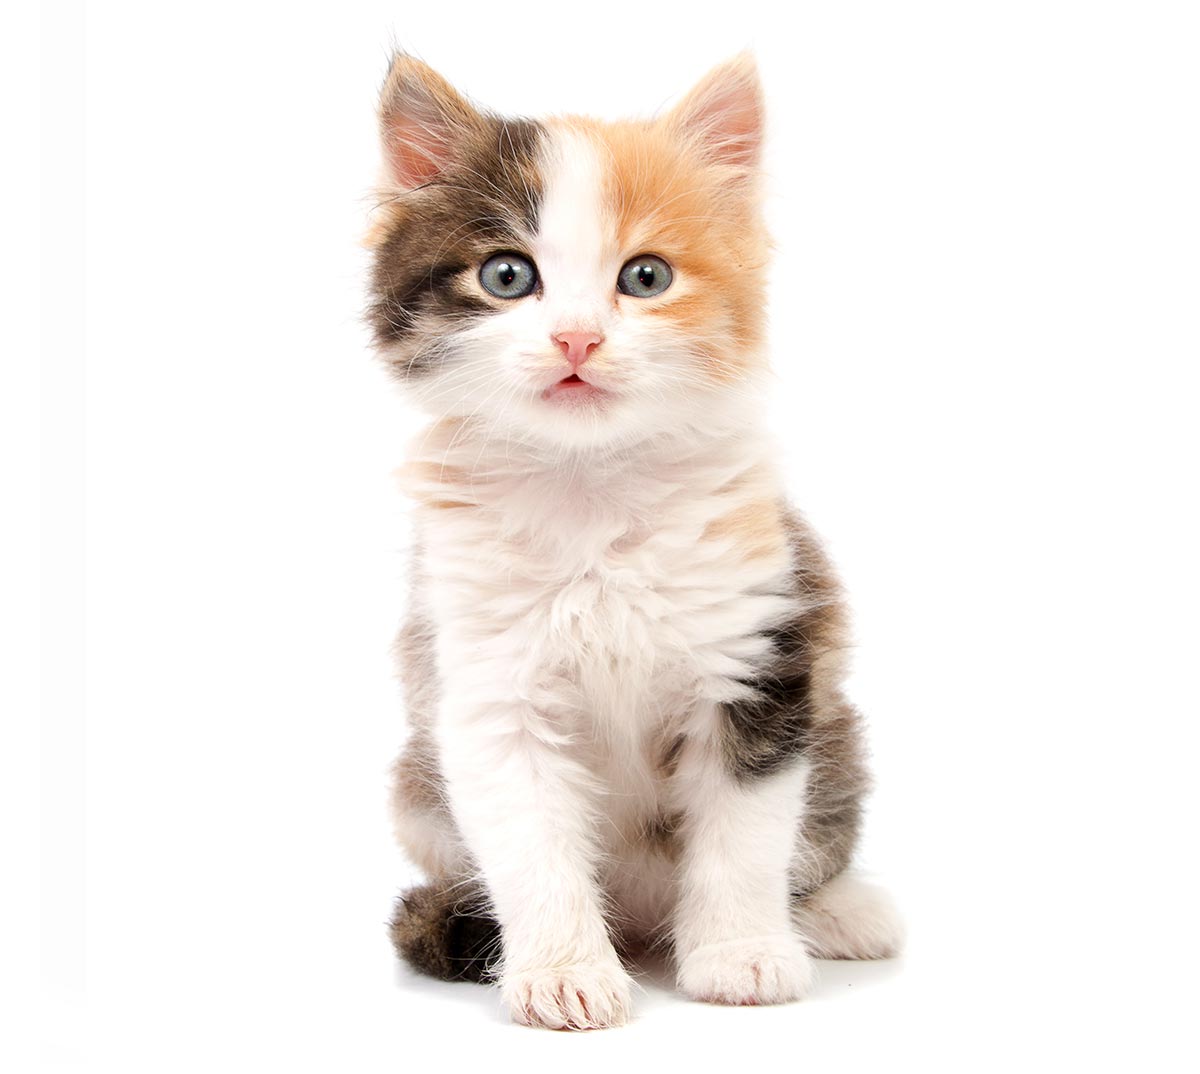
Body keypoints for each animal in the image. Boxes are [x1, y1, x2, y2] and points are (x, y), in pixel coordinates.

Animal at [364, 54, 902, 1027]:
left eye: (645, 278)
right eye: (507, 276)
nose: (578, 338)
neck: (592, 487)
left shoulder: (760, 659)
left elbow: (745, 834)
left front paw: (741, 955)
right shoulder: (488, 688)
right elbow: (533, 846)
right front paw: (563, 973)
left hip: (838, 737)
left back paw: (838, 912)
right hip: (416, 791)